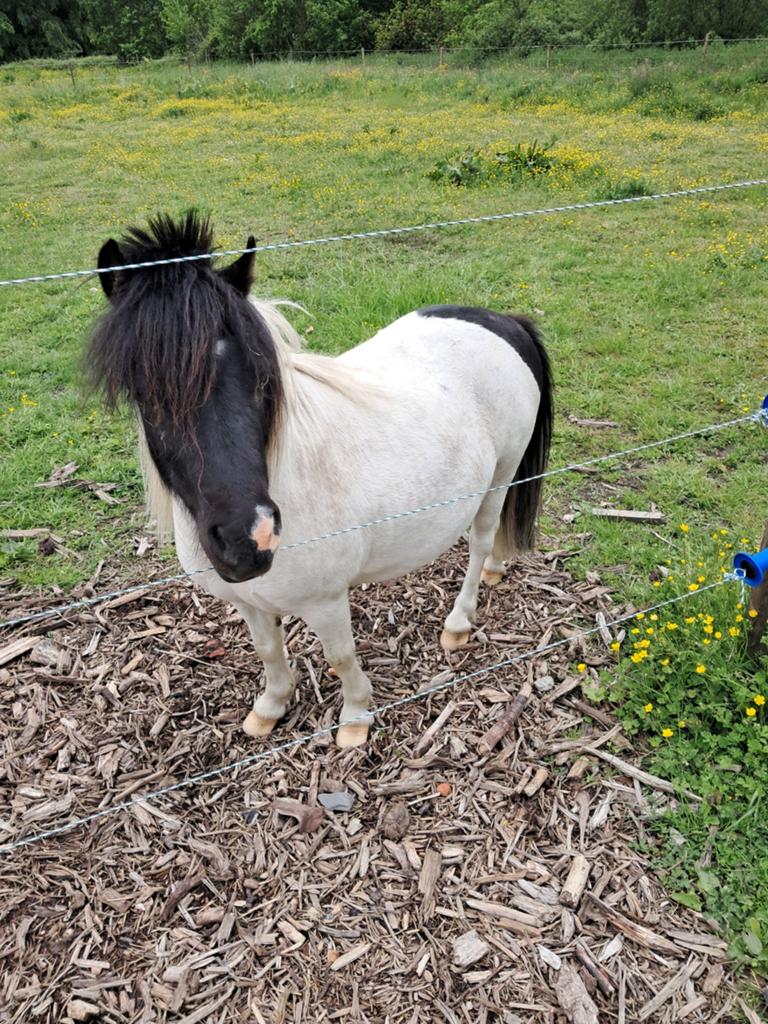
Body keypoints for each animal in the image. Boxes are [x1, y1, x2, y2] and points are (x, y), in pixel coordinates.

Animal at [89, 211, 553, 748]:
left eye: (262, 380)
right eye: (145, 394)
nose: (248, 539)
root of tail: (505, 322)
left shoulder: (327, 601)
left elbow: (341, 656)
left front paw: (354, 718)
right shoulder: (248, 603)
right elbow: (269, 651)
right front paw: (270, 708)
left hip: (501, 474)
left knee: (479, 540)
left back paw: (459, 621)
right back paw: (498, 568)